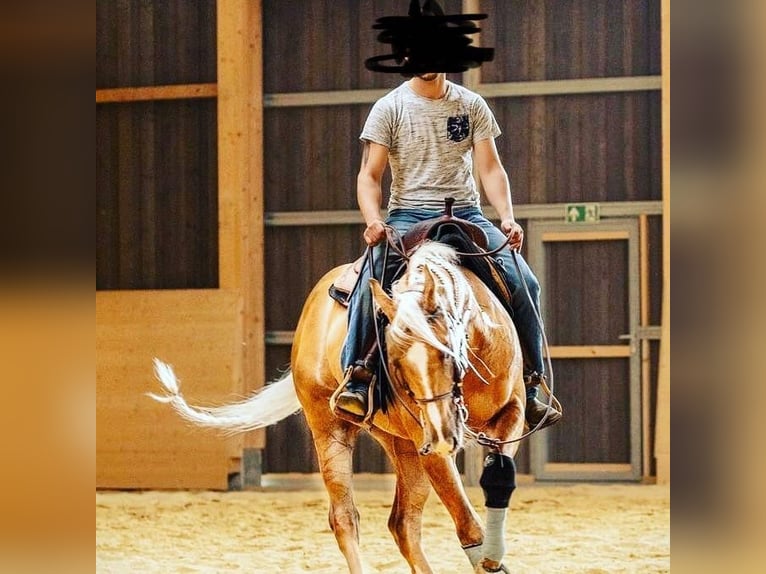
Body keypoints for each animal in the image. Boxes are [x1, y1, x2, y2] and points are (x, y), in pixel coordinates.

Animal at [150, 240, 527, 573]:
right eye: (395, 362)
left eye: (446, 349)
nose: (443, 434)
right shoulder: (431, 447)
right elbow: (467, 523)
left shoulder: (513, 412)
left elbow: (499, 473)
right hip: (331, 431)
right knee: (345, 518)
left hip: (402, 445)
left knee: (402, 523)